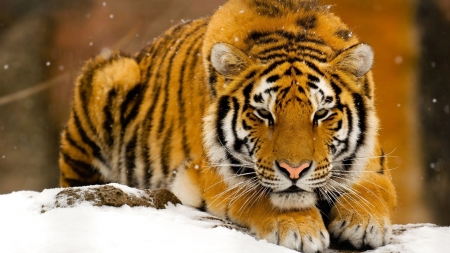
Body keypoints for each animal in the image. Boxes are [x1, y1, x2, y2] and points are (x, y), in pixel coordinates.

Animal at [59, 0, 398, 251]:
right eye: (264, 114)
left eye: (321, 114)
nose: (295, 170)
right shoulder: (216, 174)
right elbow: (263, 196)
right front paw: (300, 229)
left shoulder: (372, 161)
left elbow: (373, 189)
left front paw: (364, 224)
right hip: (111, 73)